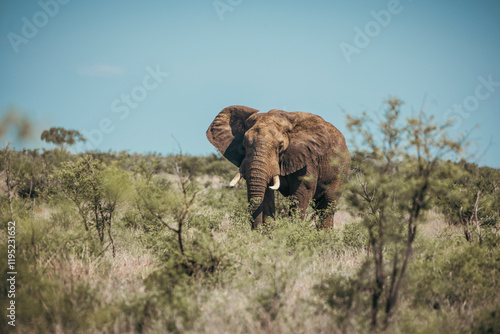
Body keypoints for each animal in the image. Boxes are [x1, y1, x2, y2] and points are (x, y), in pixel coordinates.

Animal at [205, 105, 350, 228]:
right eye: (244, 143)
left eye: (280, 146)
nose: (256, 231)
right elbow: (267, 194)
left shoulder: (307, 159)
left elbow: (302, 191)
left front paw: (292, 231)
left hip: (341, 171)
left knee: (327, 204)